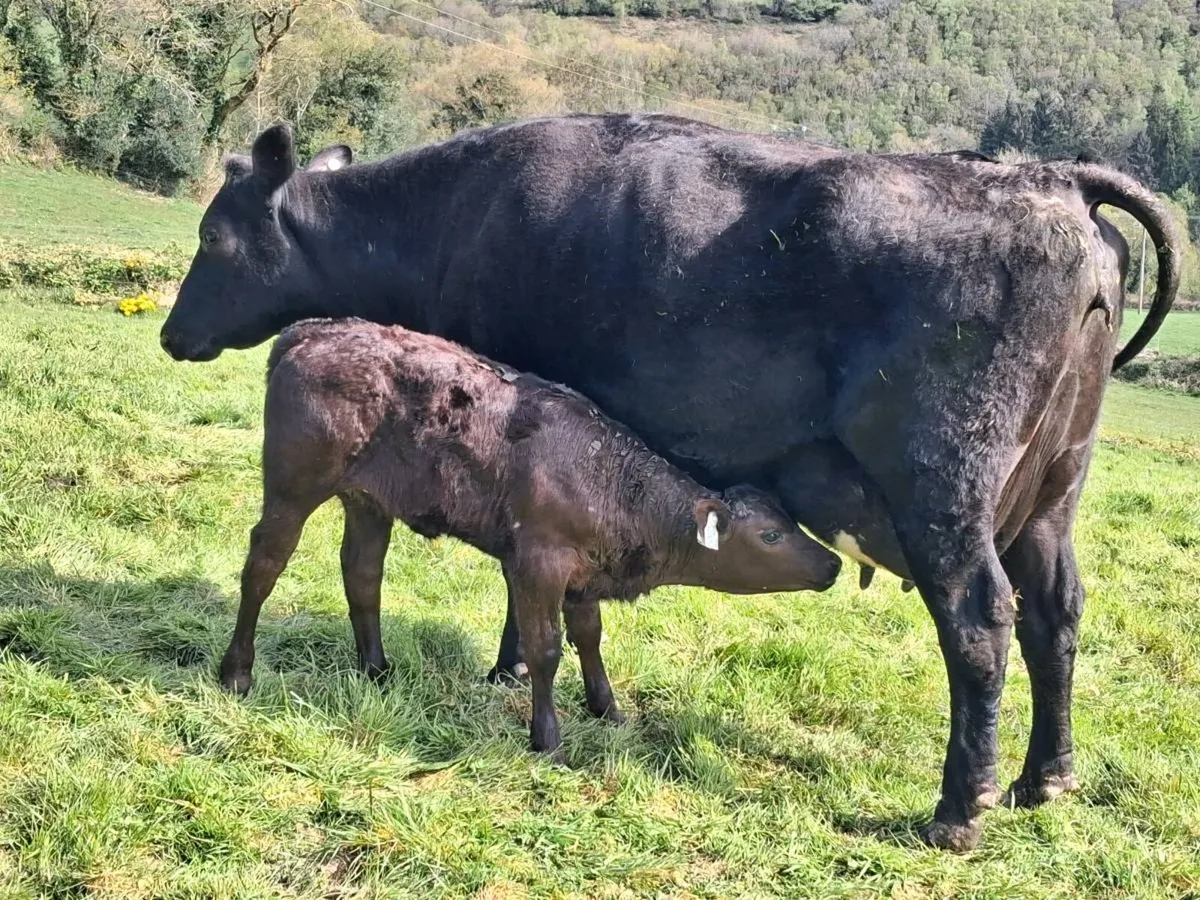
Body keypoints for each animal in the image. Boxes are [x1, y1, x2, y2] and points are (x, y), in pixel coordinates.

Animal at [226, 317, 841, 755]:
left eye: (790, 522)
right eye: (769, 536)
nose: (833, 564)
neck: (607, 479)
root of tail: (311, 330)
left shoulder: (586, 571)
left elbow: (590, 638)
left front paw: (607, 709)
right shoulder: (537, 560)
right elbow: (544, 649)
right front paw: (547, 739)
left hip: (370, 499)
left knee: (362, 573)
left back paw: (377, 670)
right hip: (293, 484)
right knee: (263, 566)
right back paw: (237, 672)